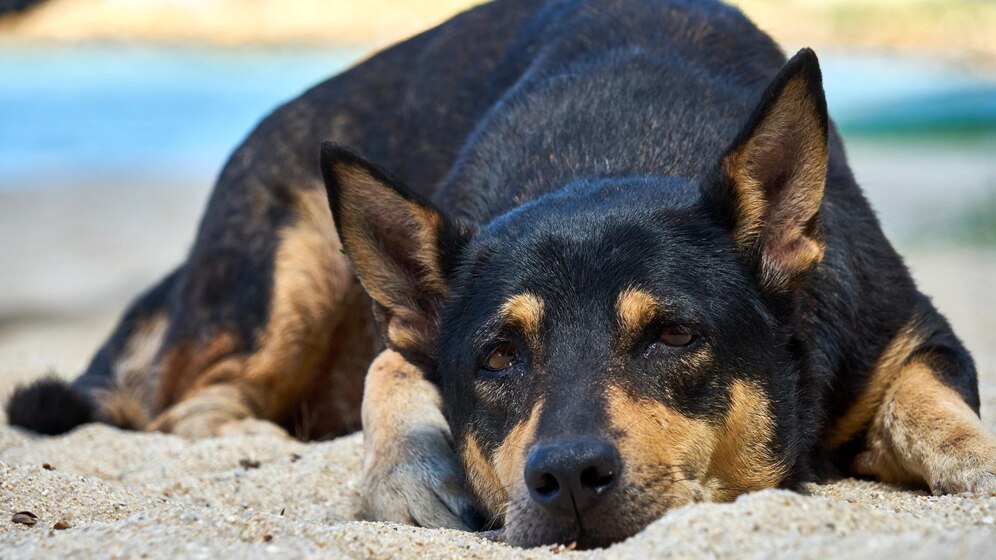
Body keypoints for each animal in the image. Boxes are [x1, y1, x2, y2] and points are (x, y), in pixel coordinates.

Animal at [7, 0, 996, 552]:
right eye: (496, 358)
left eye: (673, 335)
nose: (568, 479)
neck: (617, 145)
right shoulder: (409, 336)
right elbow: (390, 370)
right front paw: (410, 471)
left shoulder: (910, 337)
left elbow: (932, 412)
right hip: (284, 276)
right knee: (189, 402)